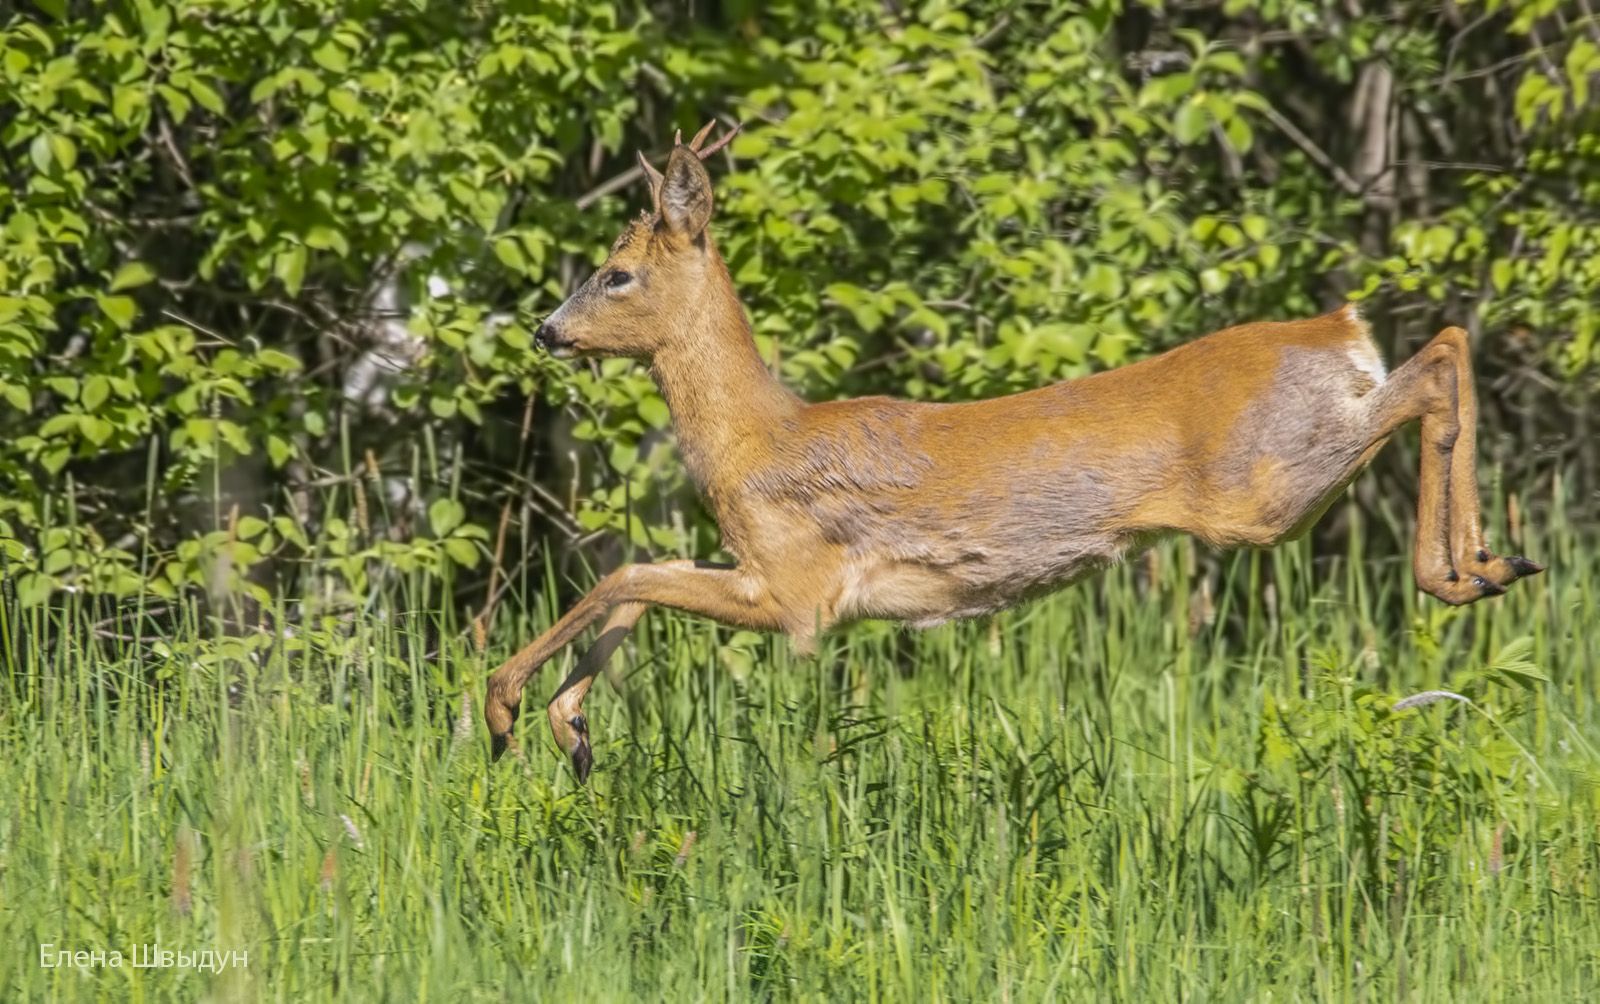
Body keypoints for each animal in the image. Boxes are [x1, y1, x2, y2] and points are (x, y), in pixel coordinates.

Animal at [484, 121, 1543, 781]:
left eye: (615, 274)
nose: (545, 331)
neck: (758, 440)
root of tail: (1340, 329)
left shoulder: (798, 593)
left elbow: (626, 574)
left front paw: (501, 705)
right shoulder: (766, 574)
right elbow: (639, 578)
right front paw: (571, 729)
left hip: (1266, 487)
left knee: (1431, 371)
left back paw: (1460, 571)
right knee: (1447, 348)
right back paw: (1489, 562)